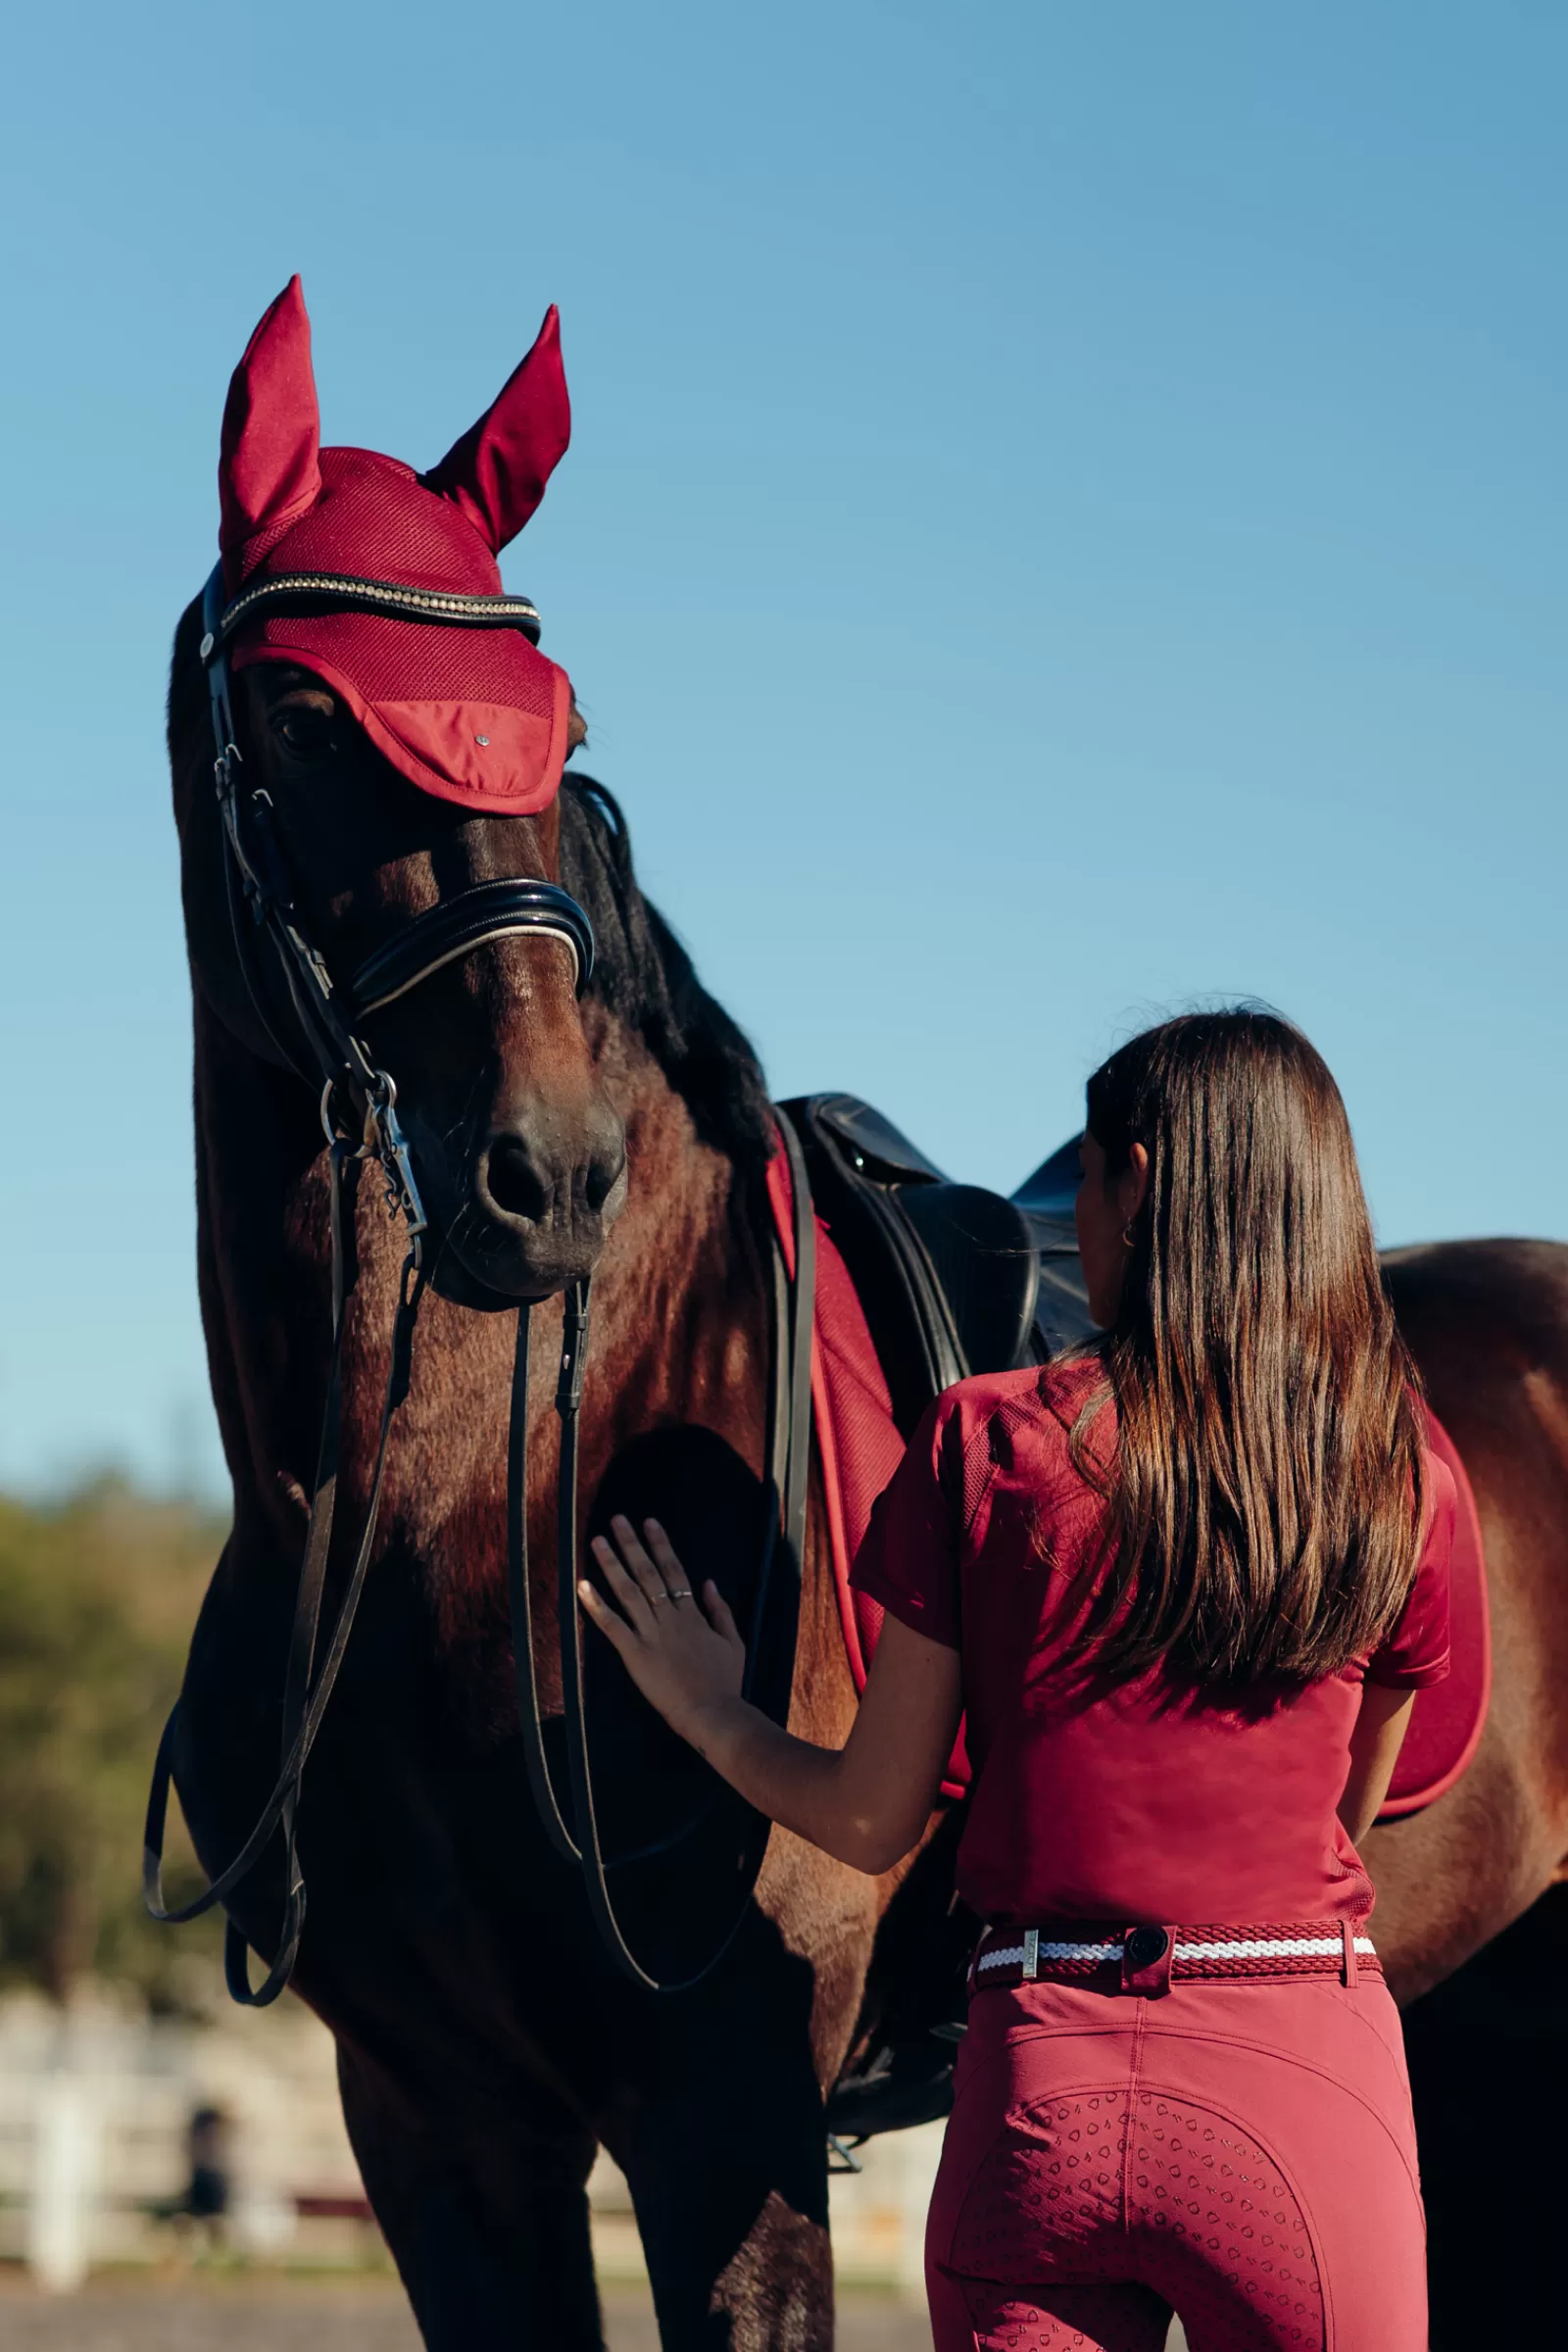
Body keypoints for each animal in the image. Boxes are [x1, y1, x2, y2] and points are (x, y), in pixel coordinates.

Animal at [156, 294, 1568, 2352]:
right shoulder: (435, 2127)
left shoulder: (721, 2122)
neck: (464, 1526)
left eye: (564, 729)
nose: (543, 1174)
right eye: (305, 714)